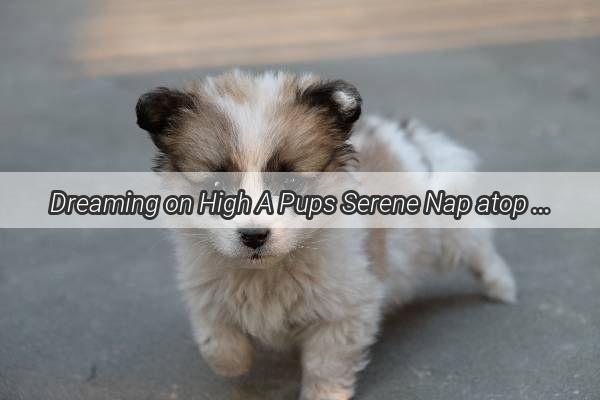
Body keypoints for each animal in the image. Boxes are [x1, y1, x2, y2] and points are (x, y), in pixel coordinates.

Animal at [135, 70, 516, 398]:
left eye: (290, 182)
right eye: (216, 186)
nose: (254, 236)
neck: (268, 271)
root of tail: (404, 137)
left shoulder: (345, 309)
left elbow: (325, 362)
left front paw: (324, 394)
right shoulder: (206, 290)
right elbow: (216, 338)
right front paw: (235, 363)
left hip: (446, 229)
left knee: (478, 248)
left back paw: (501, 286)